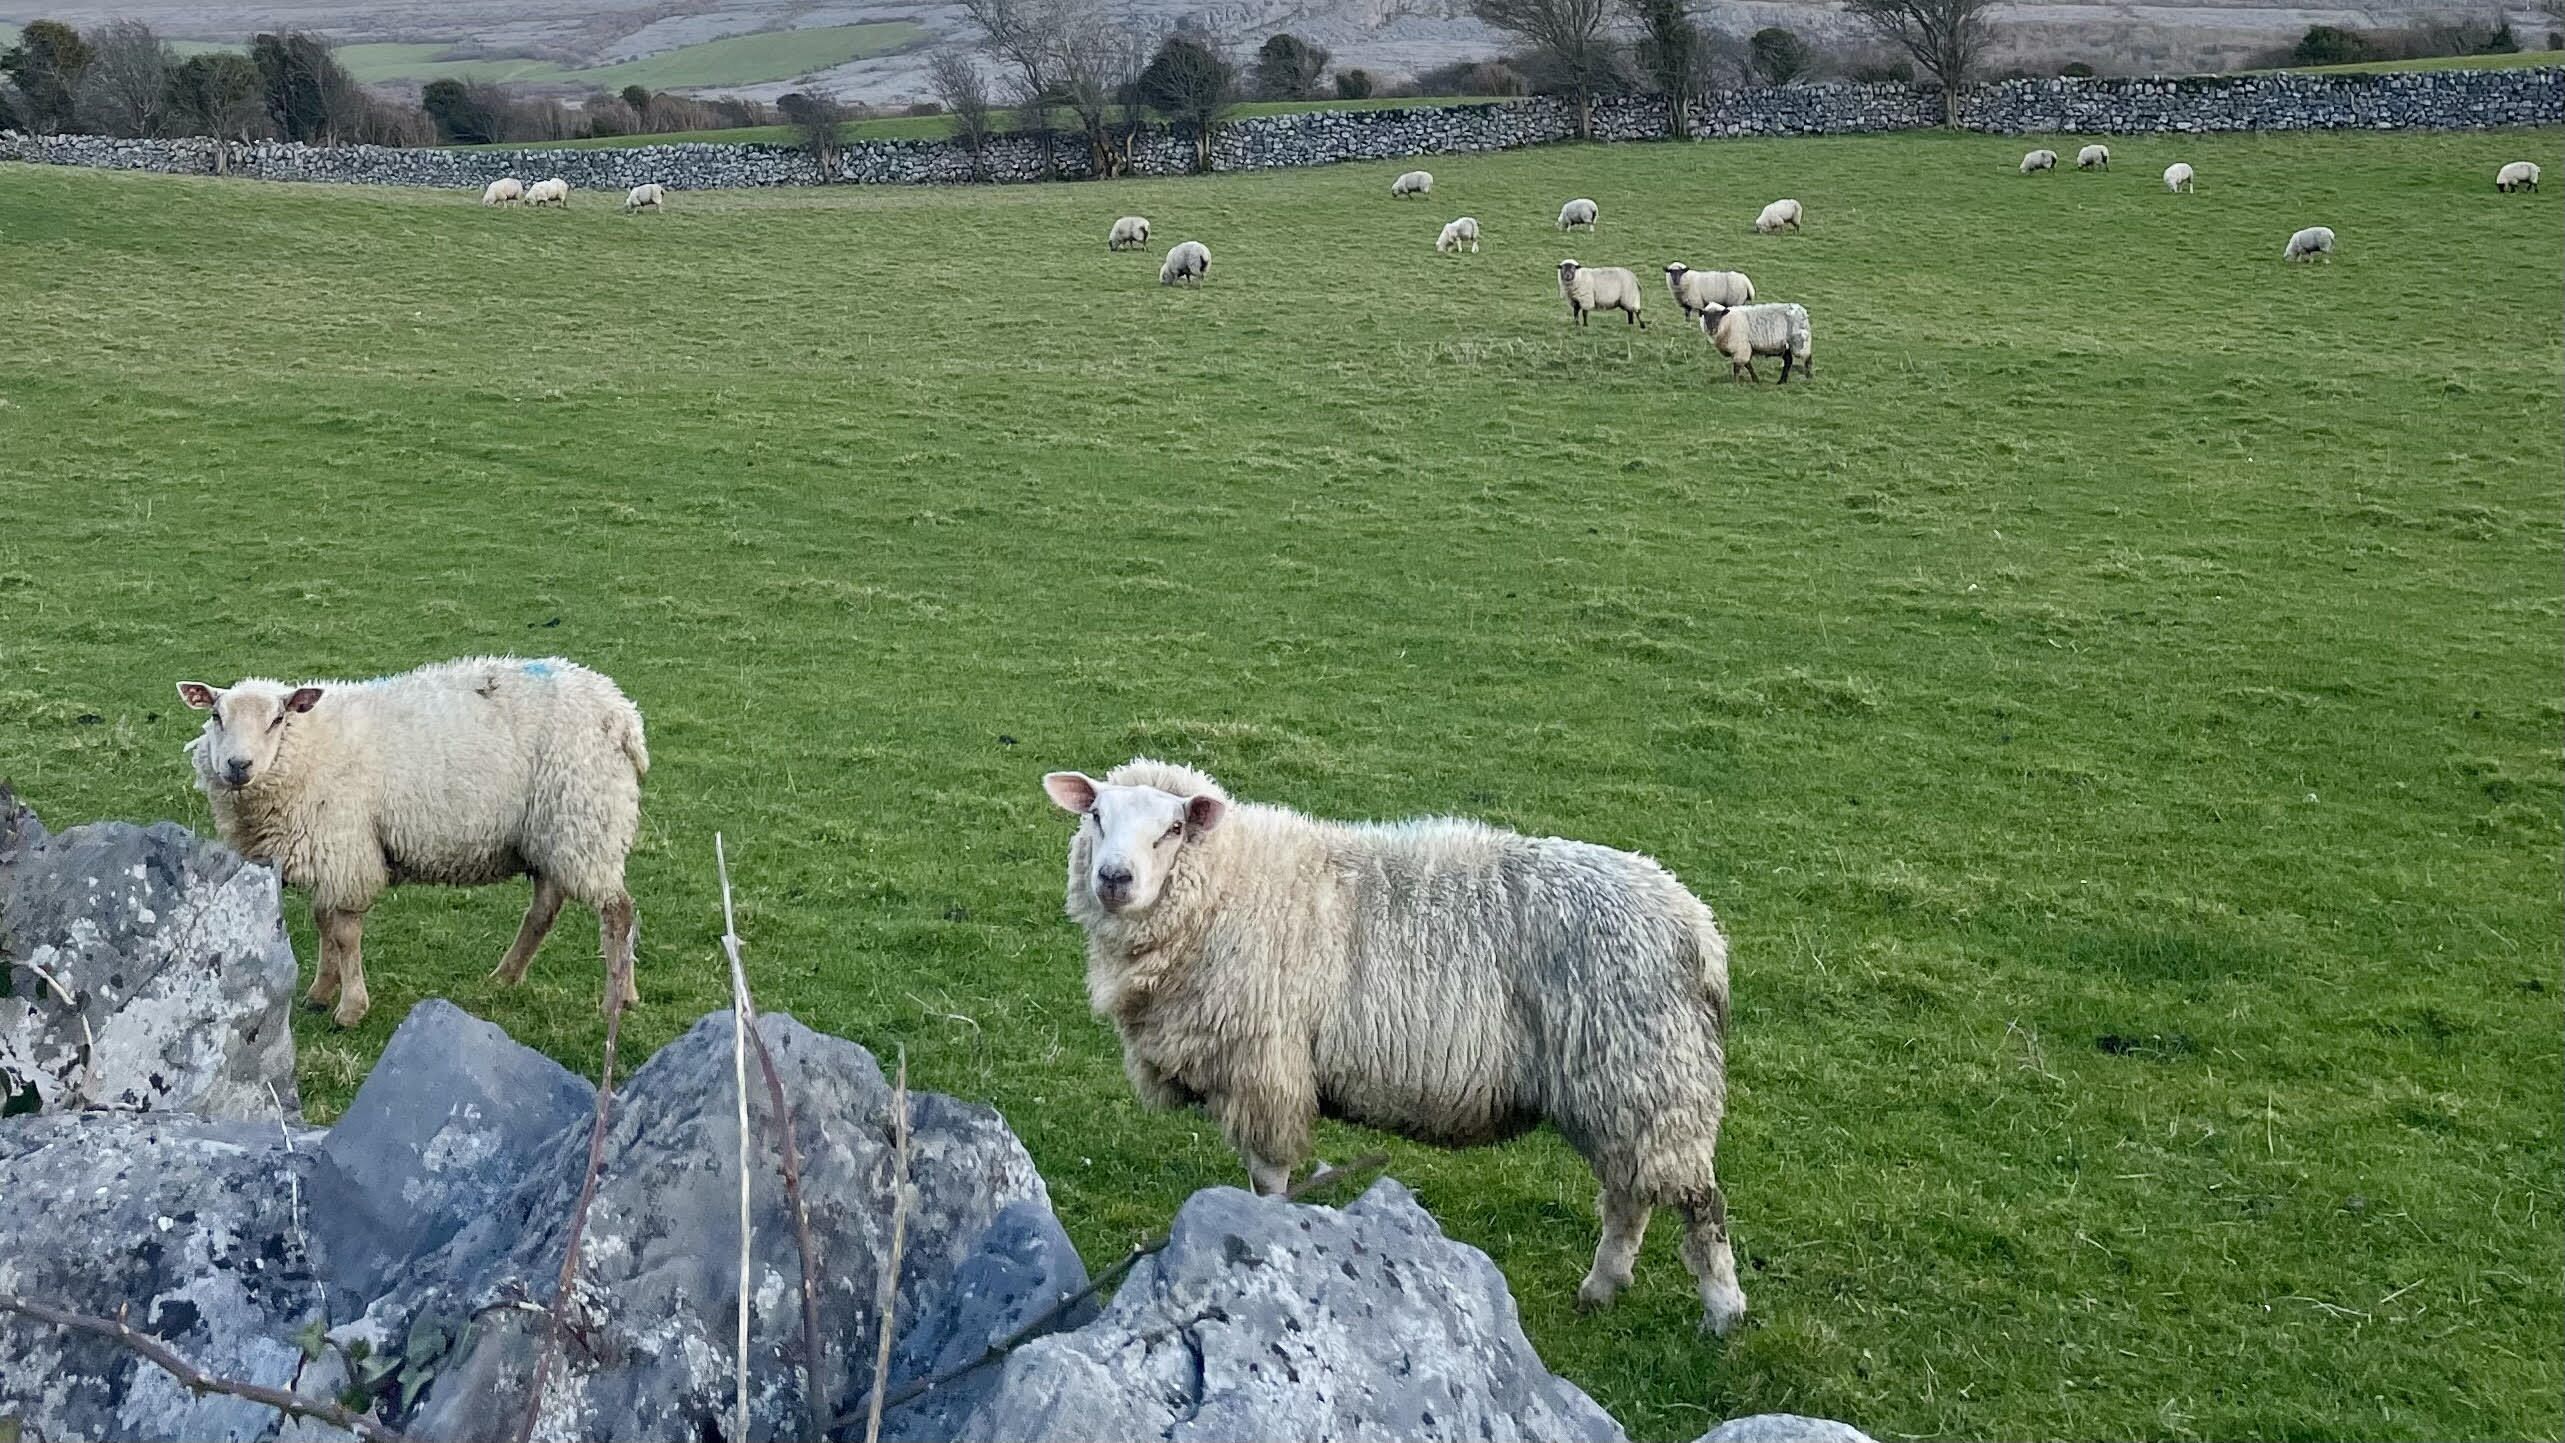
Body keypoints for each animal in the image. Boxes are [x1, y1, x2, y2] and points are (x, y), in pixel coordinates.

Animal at [178, 656, 648, 1028]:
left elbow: (343, 932)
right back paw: (505, 978)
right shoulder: (329, 850)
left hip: (585, 821)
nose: (237, 765)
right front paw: (319, 993)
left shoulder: (346, 849)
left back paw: (617, 999)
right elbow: (323, 923)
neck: (308, 746)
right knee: (544, 911)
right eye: (216, 716)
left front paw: (350, 1008)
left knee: (618, 912)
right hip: (550, 833)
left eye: (277, 719)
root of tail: (622, 713)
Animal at [1039, 758, 1747, 1337]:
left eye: (1173, 830)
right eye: (1096, 816)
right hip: (1624, 1087)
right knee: (1632, 1194)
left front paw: (1264, 1233)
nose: (1113, 879)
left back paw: (1721, 1311)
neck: (1227, 887)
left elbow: (1267, 1180)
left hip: (1648, 1071)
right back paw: (1601, 1289)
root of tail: (1697, 928)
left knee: (1696, 1202)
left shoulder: (1264, 1069)